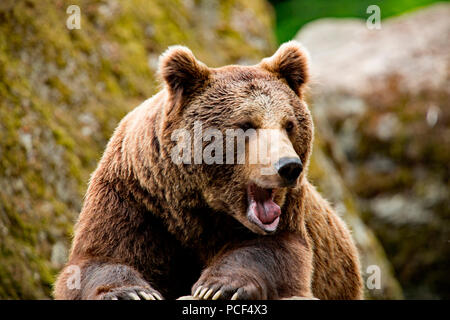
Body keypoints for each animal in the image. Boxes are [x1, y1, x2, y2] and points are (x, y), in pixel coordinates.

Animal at [53, 40, 362, 300]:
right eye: (246, 125)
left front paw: (218, 287)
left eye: (289, 124)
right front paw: (131, 292)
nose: (289, 167)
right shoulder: (133, 193)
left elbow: (277, 249)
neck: (196, 205)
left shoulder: (288, 211)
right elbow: (99, 259)